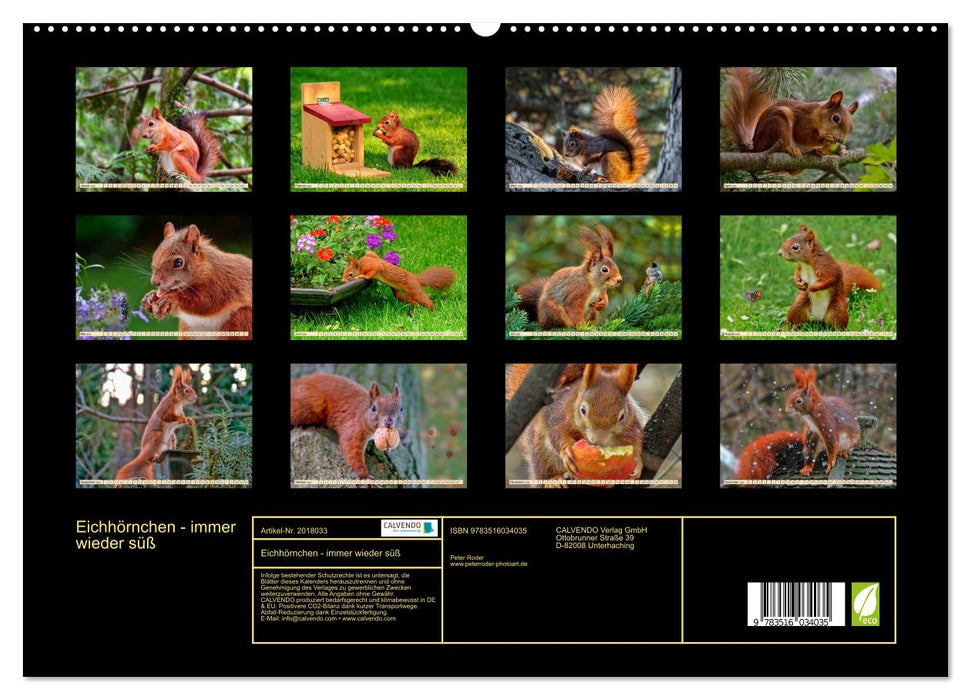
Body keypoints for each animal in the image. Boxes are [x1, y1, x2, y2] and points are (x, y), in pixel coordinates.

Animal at [506, 363, 646, 487]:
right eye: (583, 409)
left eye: (622, 416)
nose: (597, 440)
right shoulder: (558, 417)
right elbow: (558, 435)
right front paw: (566, 451)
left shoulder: (632, 425)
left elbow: (636, 443)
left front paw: (637, 463)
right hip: (541, 453)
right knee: (544, 471)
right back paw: (553, 480)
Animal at [721, 67, 859, 158]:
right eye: (836, 118)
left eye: (852, 128)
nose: (840, 140)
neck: (816, 115)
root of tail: (755, 147)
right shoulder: (804, 119)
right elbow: (802, 134)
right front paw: (825, 139)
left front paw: (840, 150)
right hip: (777, 124)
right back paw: (789, 149)